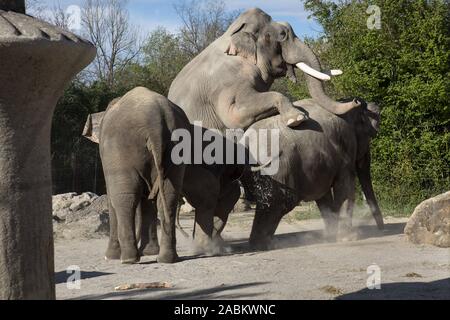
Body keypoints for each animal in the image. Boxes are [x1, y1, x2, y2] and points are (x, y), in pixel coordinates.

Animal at [239, 98, 384, 250]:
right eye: (370, 135)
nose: (382, 229)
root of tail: (245, 142)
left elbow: (323, 196)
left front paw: (330, 237)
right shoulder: (346, 150)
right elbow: (345, 188)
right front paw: (347, 239)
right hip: (277, 170)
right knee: (277, 203)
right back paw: (266, 245)